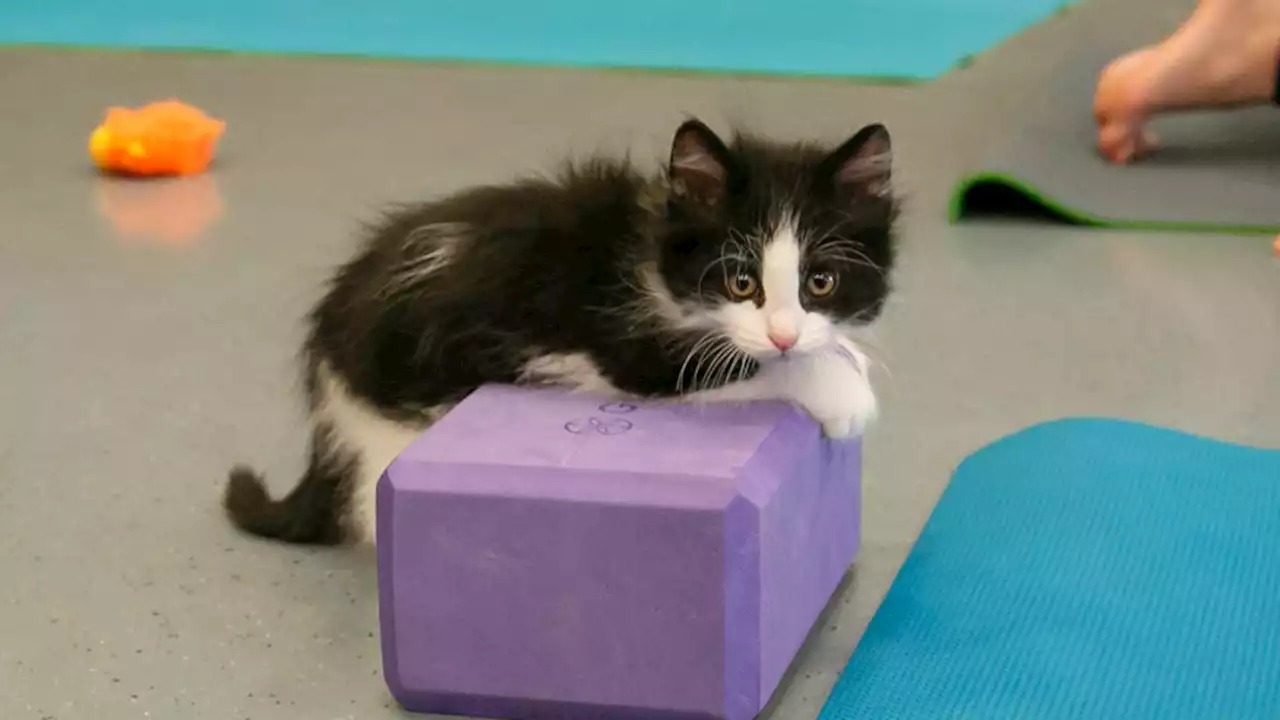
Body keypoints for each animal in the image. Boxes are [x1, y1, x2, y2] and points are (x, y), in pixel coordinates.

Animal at [222, 117, 901, 543]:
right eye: (740, 283)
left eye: (821, 283)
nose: (785, 333)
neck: (650, 249)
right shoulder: (629, 354)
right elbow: (737, 367)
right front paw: (841, 392)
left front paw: (842, 354)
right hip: (388, 427)